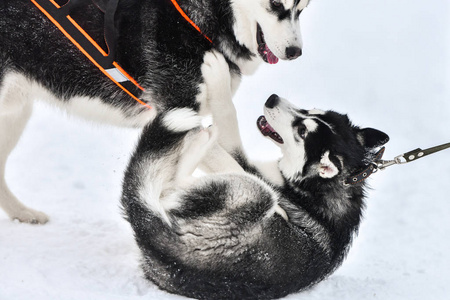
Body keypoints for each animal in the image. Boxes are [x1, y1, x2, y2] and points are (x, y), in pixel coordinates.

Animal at [0, 0, 310, 223]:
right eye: (275, 3)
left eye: (302, 8)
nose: (296, 52)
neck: (197, 20)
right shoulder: (181, 114)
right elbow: (234, 166)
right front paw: (275, 209)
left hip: (14, 115)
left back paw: (21, 213)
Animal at [120, 57, 390, 298]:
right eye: (310, 110)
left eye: (301, 131)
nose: (272, 99)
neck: (320, 185)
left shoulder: (249, 169)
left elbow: (227, 123)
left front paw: (217, 75)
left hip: (256, 193)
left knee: (174, 186)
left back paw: (200, 140)